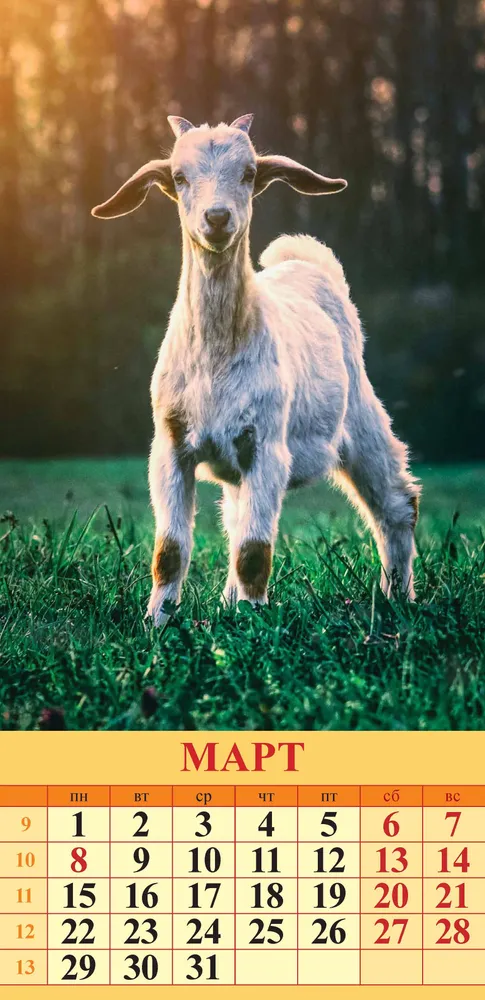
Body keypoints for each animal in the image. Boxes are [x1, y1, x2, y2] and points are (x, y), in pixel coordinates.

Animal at [92, 114, 420, 625]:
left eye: (248, 174)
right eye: (179, 177)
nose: (217, 218)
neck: (216, 356)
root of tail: (306, 266)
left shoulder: (267, 447)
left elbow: (254, 551)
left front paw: (253, 627)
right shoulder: (170, 445)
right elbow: (171, 550)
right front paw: (158, 623)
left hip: (362, 420)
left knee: (396, 503)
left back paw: (397, 599)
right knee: (235, 516)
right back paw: (230, 604)